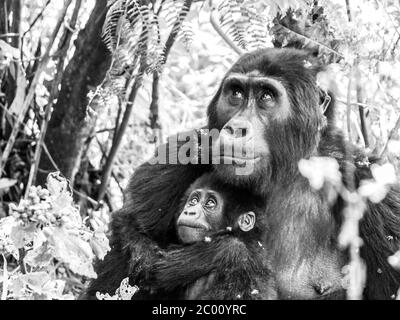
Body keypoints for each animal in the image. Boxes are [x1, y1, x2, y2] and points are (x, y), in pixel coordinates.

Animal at [83, 47, 400, 300]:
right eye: (236, 93)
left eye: (266, 97)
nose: (236, 128)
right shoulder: (184, 150)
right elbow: (132, 232)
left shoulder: (375, 189)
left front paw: (222, 253)